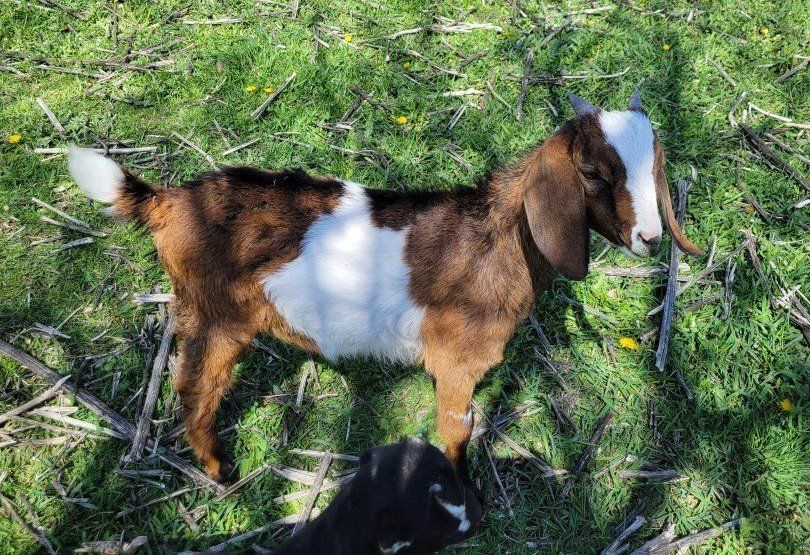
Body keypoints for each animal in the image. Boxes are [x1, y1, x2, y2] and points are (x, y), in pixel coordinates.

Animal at [68, 91, 702, 482]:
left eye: (654, 170)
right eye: (591, 173)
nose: (650, 237)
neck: (498, 239)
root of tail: (167, 201)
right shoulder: (456, 359)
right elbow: (456, 427)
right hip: (213, 315)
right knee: (195, 390)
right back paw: (221, 473)